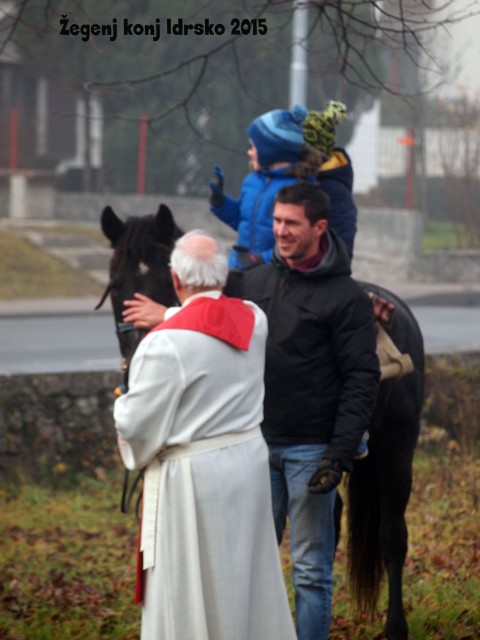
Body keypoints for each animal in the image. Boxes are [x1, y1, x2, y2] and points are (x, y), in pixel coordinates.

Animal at [98, 202, 424, 636]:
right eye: (116, 284)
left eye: (165, 280)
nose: (141, 363)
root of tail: (399, 311)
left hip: (394, 452)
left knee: (391, 535)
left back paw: (395, 625)